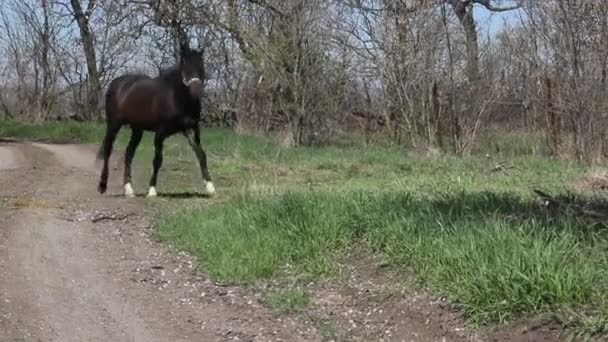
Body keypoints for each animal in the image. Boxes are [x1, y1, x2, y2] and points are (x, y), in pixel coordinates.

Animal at [96, 46, 215, 199]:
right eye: (184, 65)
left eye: (201, 65)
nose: (196, 92)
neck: (176, 97)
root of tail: (116, 83)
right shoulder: (160, 133)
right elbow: (157, 160)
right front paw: (152, 190)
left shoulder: (191, 130)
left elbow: (201, 155)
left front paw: (210, 187)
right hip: (113, 124)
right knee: (108, 151)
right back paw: (102, 186)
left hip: (137, 129)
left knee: (129, 153)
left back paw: (129, 189)